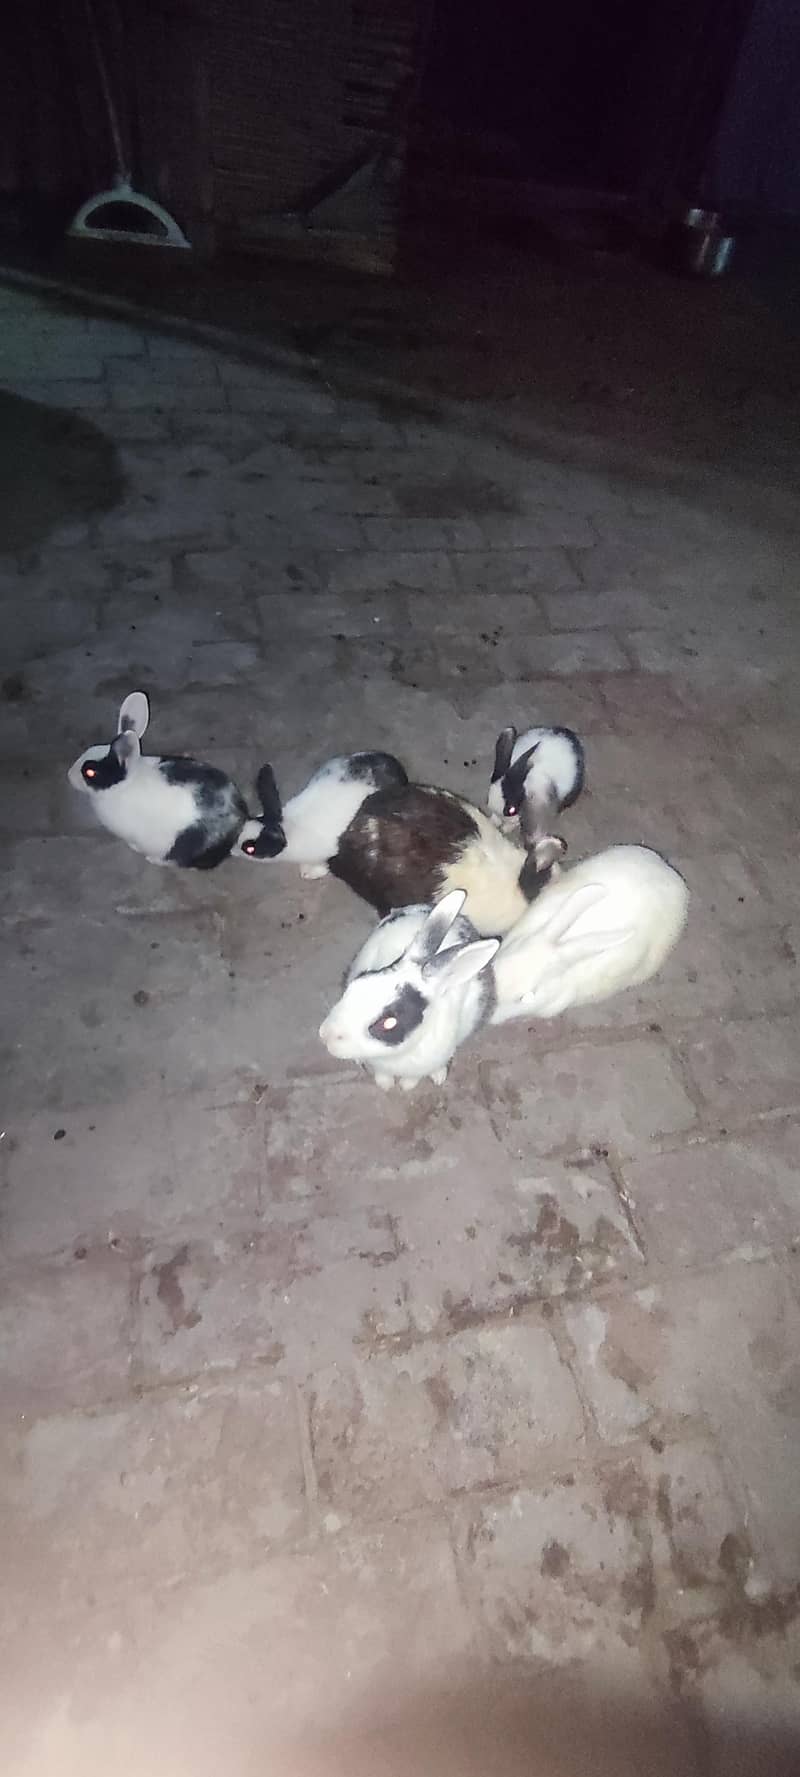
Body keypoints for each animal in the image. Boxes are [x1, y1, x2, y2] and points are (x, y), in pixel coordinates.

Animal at [319, 890, 499, 1090]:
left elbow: (414, 1077)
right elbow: (382, 1073)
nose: (326, 1035)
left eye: (388, 1023)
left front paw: (406, 1086)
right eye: (355, 984)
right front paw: (385, 1084)